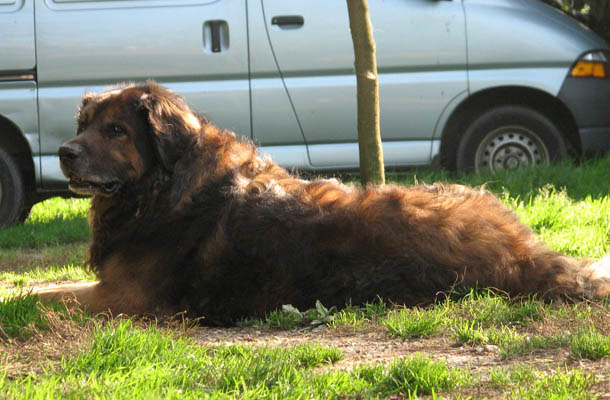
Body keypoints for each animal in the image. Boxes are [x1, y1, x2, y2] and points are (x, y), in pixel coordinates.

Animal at [35, 81, 604, 324]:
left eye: (116, 130)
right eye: (84, 124)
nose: (64, 153)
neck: (165, 185)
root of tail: (523, 256)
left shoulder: (124, 297)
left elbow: (36, 297)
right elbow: (43, 288)